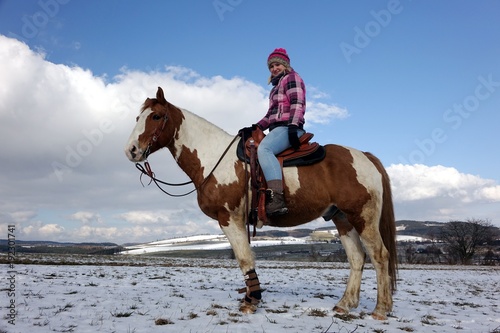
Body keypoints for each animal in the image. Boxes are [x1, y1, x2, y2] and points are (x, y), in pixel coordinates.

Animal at [124, 86, 398, 320]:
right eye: (138, 117)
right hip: (342, 219)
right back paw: (344, 304)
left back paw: (380, 309)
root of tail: (366, 157)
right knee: (357, 258)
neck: (214, 158)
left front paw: (251, 301)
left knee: (379, 255)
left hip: (363, 217)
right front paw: (251, 297)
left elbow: (245, 259)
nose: (131, 150)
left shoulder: (229, 218)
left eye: (156, 116)